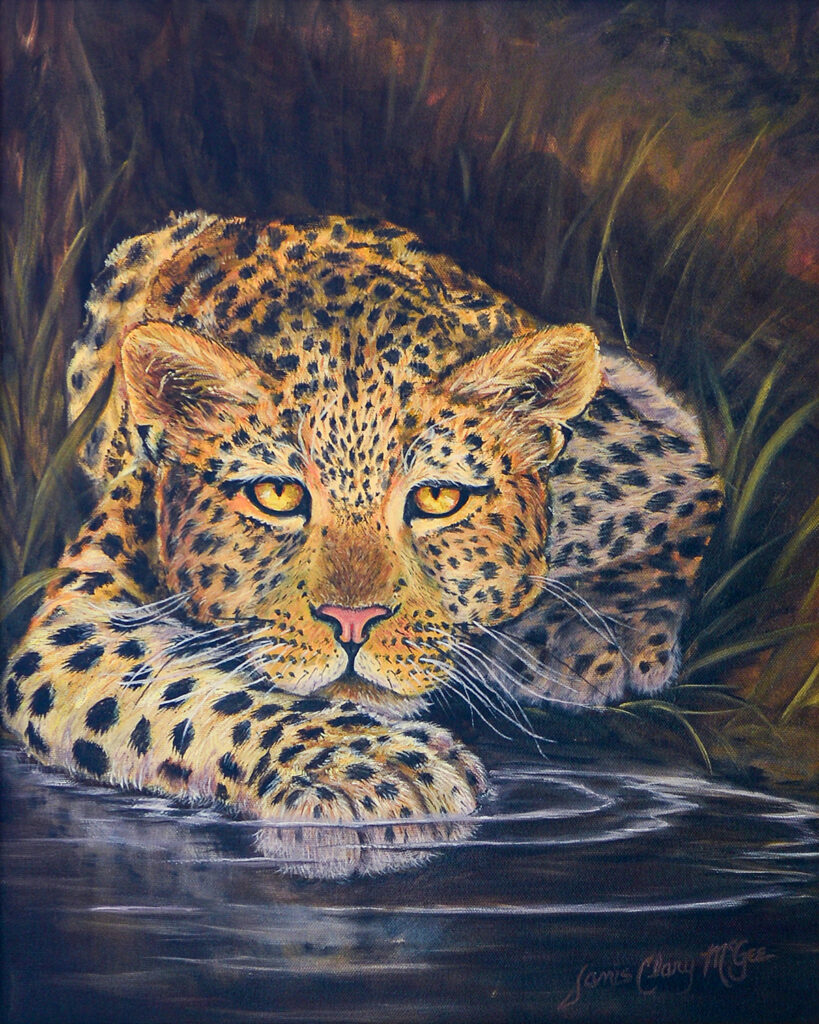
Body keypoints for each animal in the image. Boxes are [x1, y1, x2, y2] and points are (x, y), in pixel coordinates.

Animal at [1, 212, 722, 877]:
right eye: (276, 495)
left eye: (438, 499)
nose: (354, 622)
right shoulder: (79, 623)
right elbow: (200, 691)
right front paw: (375, 767)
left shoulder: (654, 448)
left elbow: (690, 496)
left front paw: (599, 637)